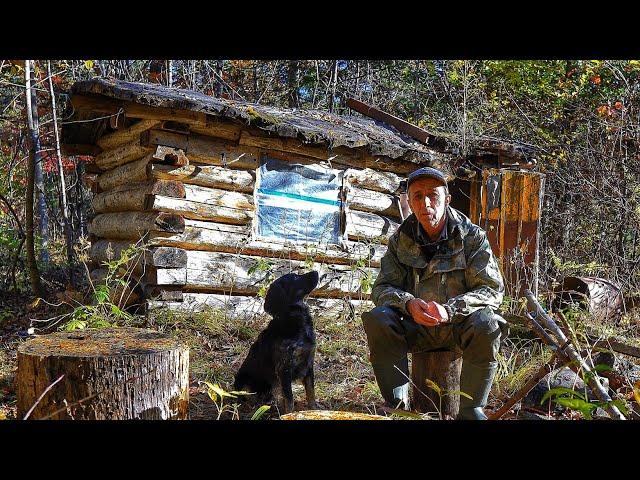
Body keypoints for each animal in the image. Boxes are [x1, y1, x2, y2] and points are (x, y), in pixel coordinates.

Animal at [232, 270, 320, 412]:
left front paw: (314, 411)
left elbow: (311, 392)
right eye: (295, 277)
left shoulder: (309, 362)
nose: (316, 272)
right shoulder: (284, 367)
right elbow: (289, 399)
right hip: (245, 381)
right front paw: (289, 414)